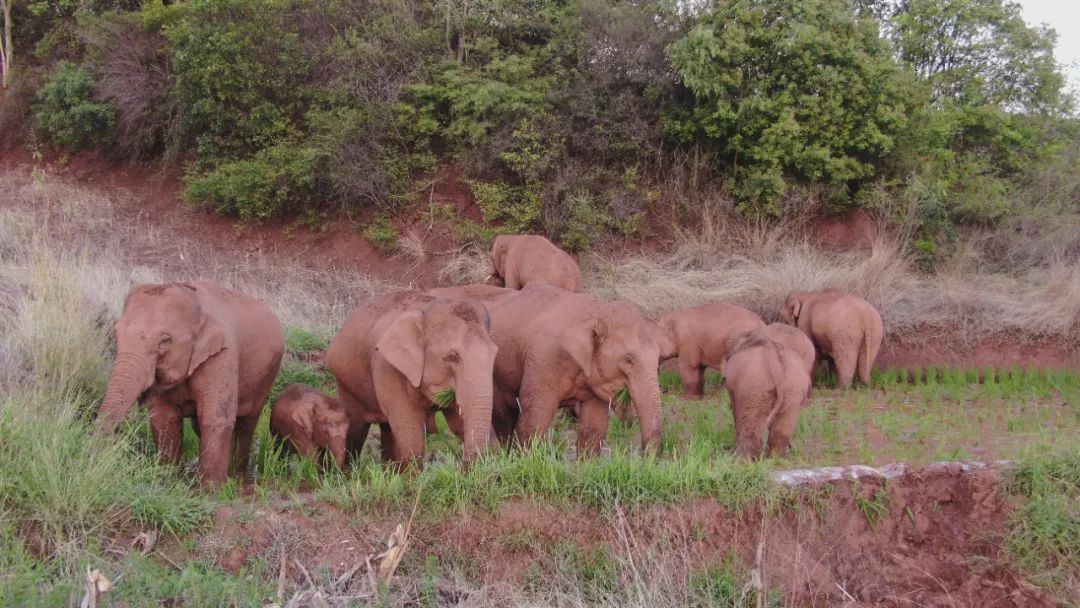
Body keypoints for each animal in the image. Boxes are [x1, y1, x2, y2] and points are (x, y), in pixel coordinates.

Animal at [93, 280, 282, 485]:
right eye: (116, 334)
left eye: (164, 342)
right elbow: (165, 418)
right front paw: (169, 481)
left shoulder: (222, 355)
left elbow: (216, 418)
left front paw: (212, 489)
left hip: (268, 373)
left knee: (247, 421)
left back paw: (238, 479)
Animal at [324, 291, 496, 468]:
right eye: (452, 356)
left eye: (495, 354)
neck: (426, 311)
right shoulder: (388, 367)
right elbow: (412, 438)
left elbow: (457, 425)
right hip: (345, 383)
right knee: (356, 430)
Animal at [490, 285, 665, 457]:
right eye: (628, 360)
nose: (644, 457)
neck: (597, 310)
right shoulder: (544, 359)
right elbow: (535, 416)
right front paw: (522, 460)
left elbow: (593, 427)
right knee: (505, 416)